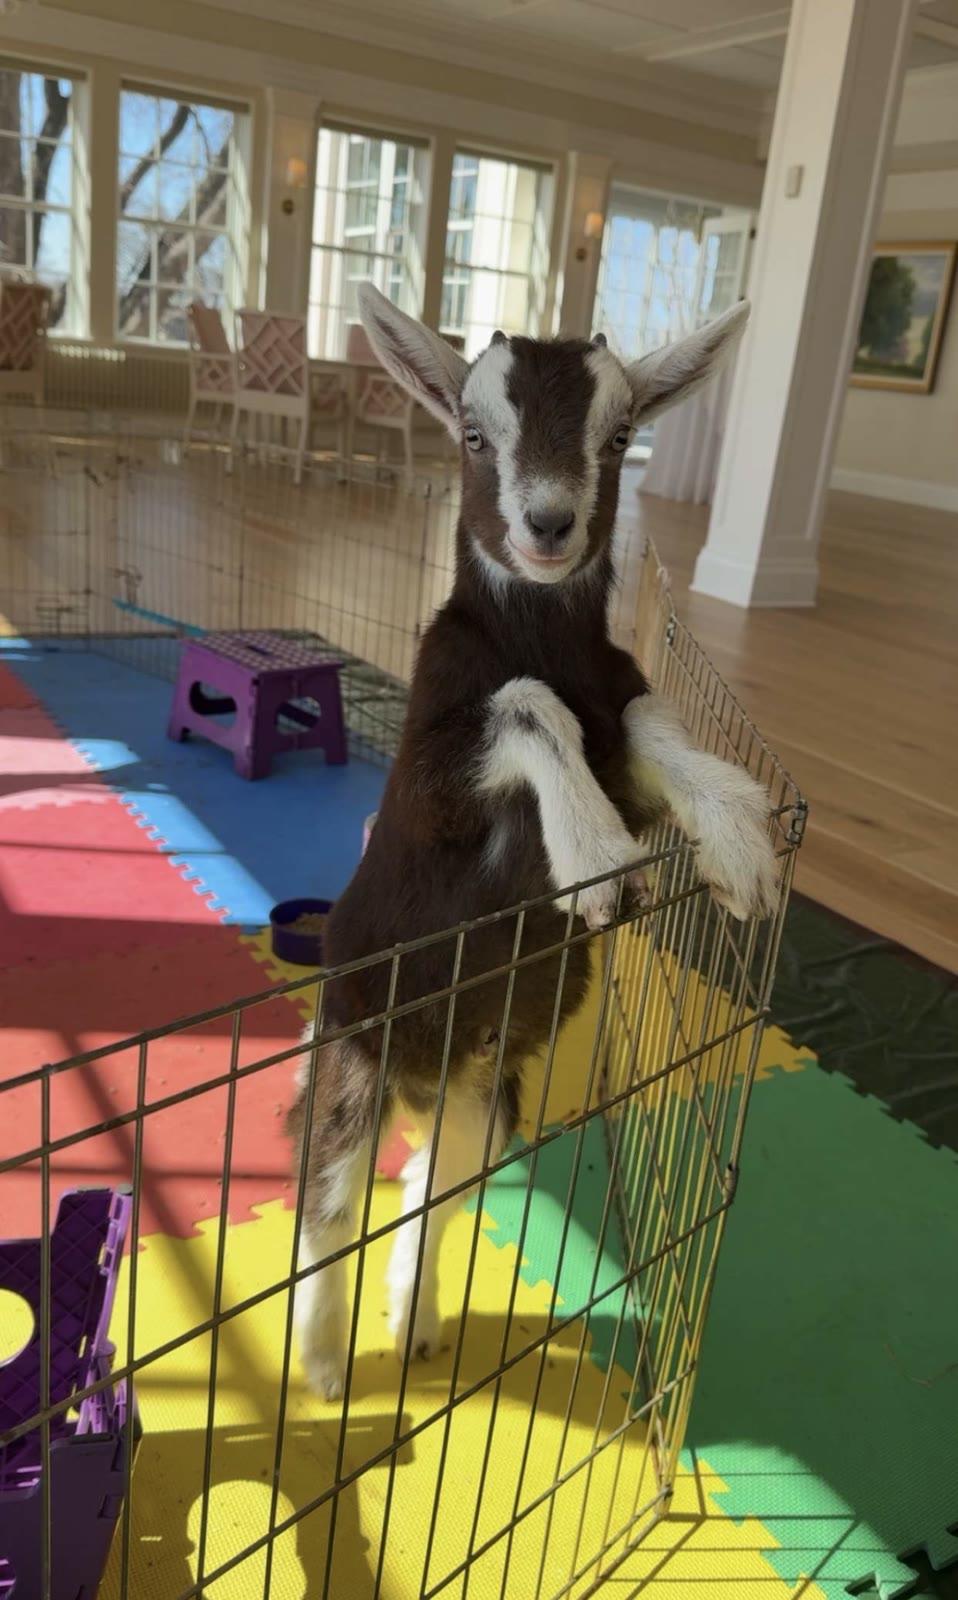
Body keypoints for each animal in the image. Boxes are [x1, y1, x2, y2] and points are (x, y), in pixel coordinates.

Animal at [287, 284, 777, 1400]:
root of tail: (423, 1075)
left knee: (428, 1192)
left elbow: (645, 724)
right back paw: (325, 1361)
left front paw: (737, 835)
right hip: (351, 1053)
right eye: (474, 436)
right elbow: (524, 705)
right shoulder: (428, 779)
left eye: (622, 434)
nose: (547, 524)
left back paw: (417, 1320)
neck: (537, 633)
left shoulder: (618, 712)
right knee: (328, 1203)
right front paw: (594, 864)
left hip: (487, 1102)